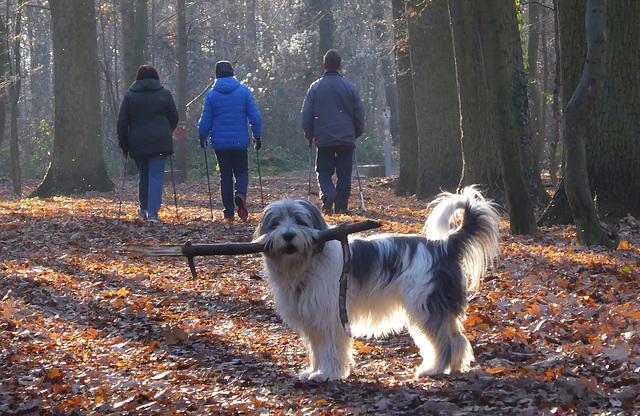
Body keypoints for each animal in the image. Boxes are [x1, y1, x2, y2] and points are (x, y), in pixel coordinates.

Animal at [254, 188, 500, 380]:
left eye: (299, 220)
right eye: (275, 223)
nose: (287, 235)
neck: (305, 263)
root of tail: (444, 245)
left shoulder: (332, 315)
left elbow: (331, 348)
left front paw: (328, 374)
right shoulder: (312, 318)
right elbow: (317, 350)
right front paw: (314, 371)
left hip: (424, 306)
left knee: (444, 341)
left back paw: (434, 369)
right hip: (439, 306)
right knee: (458, 338)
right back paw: (455, 367)